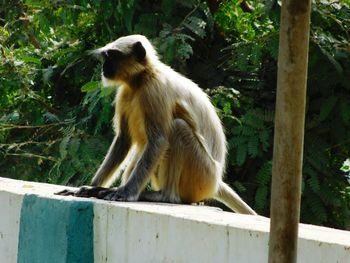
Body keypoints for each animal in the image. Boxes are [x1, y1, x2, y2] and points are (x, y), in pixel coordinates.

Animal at [58, 35, 258, 216]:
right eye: (106, 57)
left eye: (112, 57)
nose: (104, 67)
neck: (141, 79)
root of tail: (216, 181)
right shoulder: (125, 93)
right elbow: (124, 140)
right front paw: (89, 188)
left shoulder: (154, 91)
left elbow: (159, 140)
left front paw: (126, 193)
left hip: (202, 175)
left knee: (178, 128)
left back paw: (165, 196)